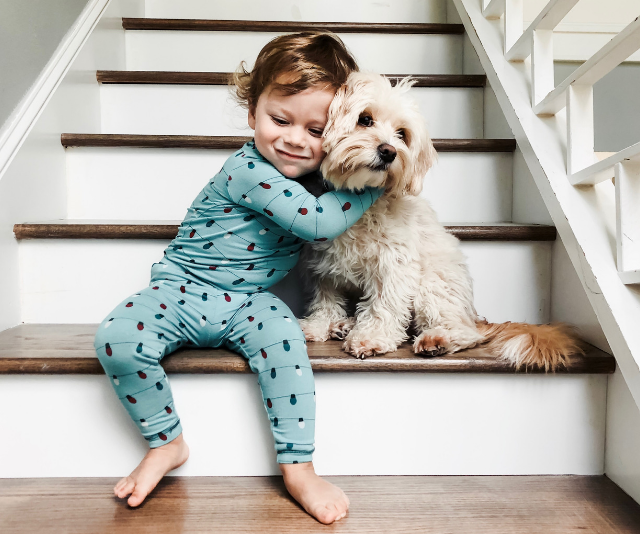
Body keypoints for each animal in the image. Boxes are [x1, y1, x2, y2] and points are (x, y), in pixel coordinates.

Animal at [298, 72, 584, 372]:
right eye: (364, 119)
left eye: (402, 134)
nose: (389, 152)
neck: (355, 202)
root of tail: (473, 316)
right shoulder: (322, 268)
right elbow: (325, 301)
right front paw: (319, 325)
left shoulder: (393, 264)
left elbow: (384, 304)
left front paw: (371, 337)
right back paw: (343, 324)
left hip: (433, 284)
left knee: (464, 332)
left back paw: (437, 339)